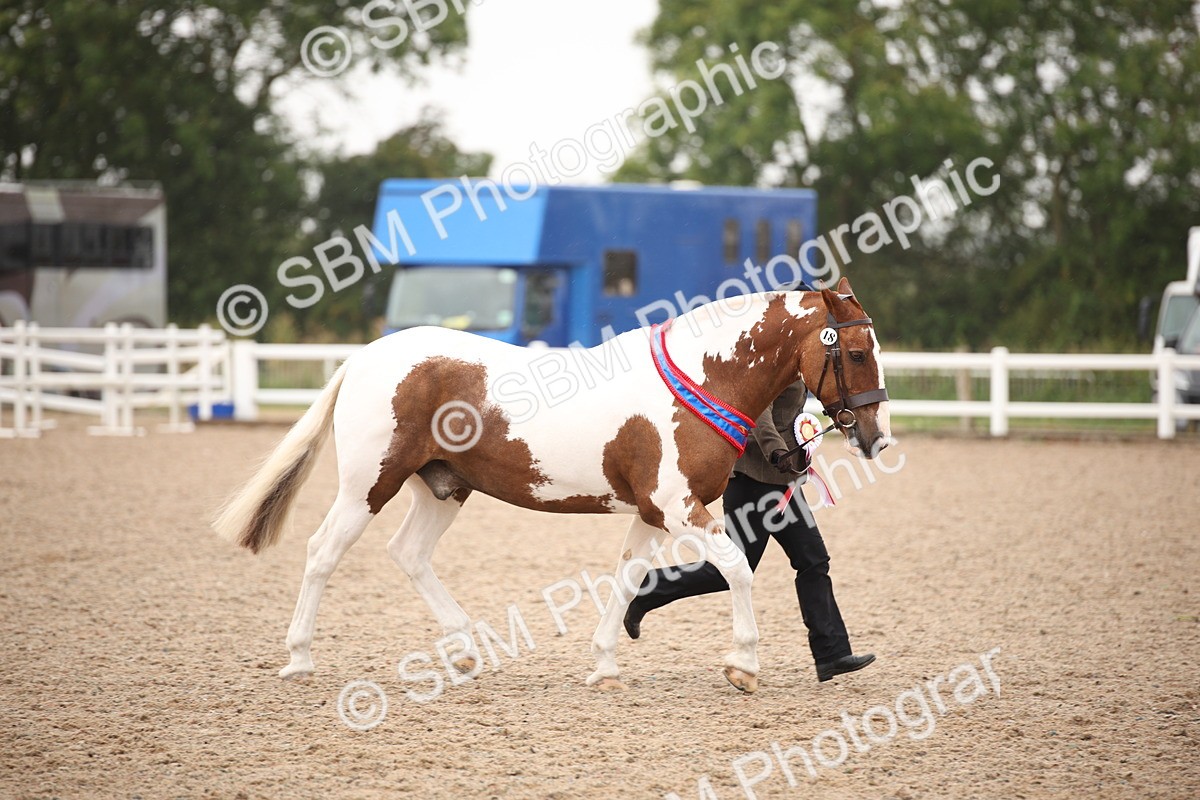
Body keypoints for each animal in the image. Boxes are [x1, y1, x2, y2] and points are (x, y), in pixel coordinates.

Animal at [213, 276, 892, 693]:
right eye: (858, 352)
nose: (876, 438)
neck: (702, 380)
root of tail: (363, 357)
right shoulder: (678, 507)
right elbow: (736, 568)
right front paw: (743, 664)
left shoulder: (651, 514)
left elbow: (629, 579)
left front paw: (605, 666)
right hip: (367, 486)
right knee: (322, 552)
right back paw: (299, 658)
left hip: (444, 487)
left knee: (407, 554)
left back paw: (465, 650)